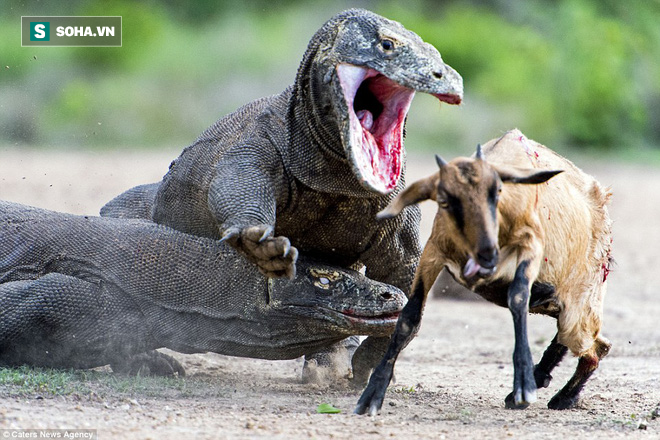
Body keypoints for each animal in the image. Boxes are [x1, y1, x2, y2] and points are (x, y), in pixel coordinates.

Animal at [356, 129, 612, 414]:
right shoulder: (433, 252)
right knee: (585, 342)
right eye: (444, 200)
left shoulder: (531, 242)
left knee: (595, 348)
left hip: (581, 302)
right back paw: (542, 381)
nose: (487, 253)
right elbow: (409, 316)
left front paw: (523, 386)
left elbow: (518, 296)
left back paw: (561, 396)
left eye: (498, 191)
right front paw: (371, 395)